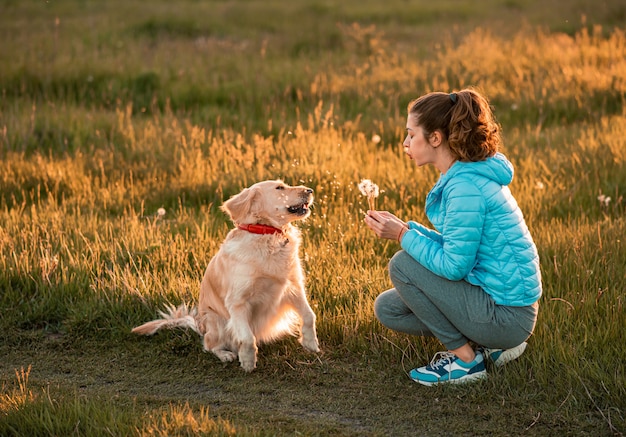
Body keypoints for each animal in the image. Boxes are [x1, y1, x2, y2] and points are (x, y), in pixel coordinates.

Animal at [131, 179, 316, 370]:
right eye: (279, 188)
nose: (310, 190)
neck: (266, 233)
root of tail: (200, 325)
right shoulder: (238, 302)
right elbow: (247, 338)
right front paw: (248, 361)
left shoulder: (293, 287)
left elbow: (309, 315)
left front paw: (311, 344)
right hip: (217, 321)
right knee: (209, 345)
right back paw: (226, 354)